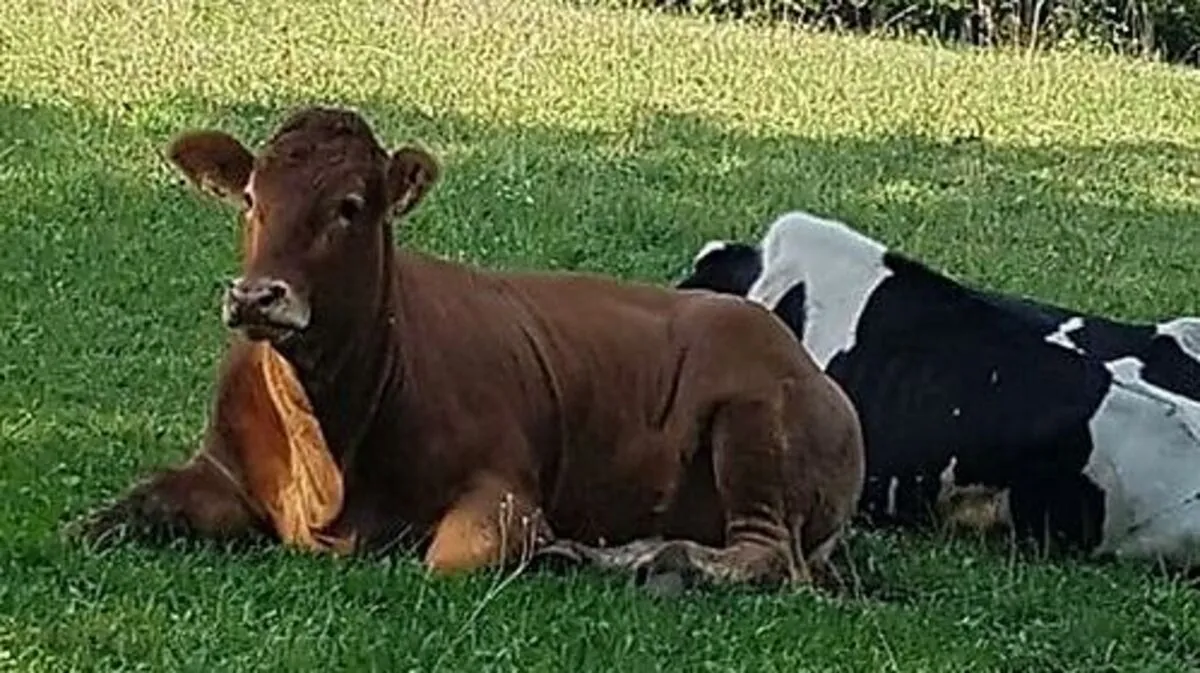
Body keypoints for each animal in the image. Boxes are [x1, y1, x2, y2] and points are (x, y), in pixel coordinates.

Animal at [65, 108, 866, 593]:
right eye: (253, 198)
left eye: (349, 206)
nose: (258, 297)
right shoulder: (217, 467)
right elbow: (110, 516)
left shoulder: (503, 493)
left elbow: (450, 557)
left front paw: (556, 549)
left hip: (755, 426)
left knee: (766, 557)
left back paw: (638, 555)